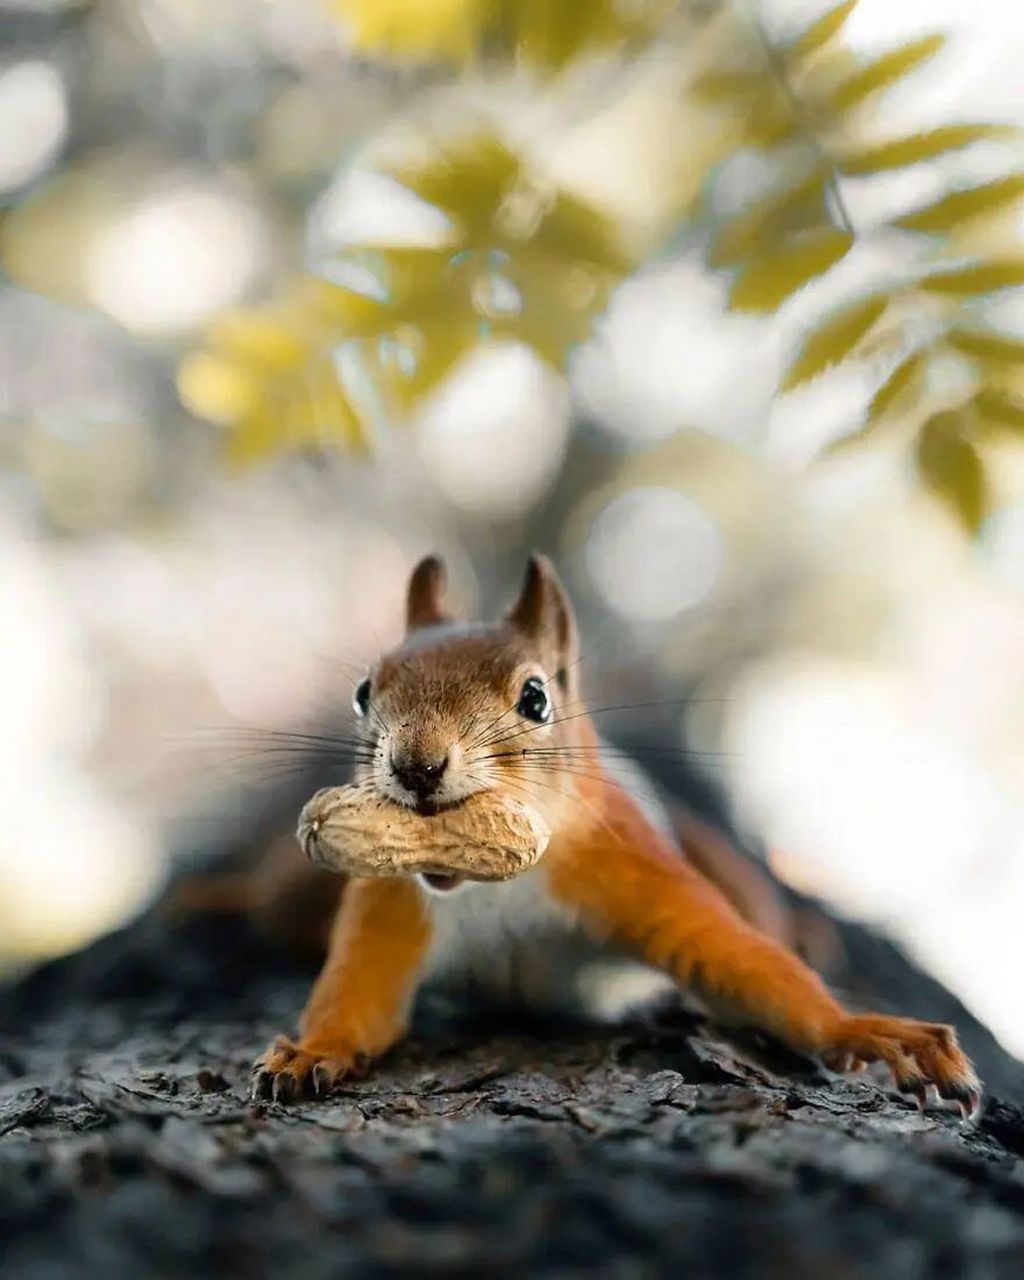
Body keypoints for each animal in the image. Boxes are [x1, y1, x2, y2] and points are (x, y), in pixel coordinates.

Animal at [244, 555, 977, 1116]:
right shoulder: (389, 900)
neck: (493, 886)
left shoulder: (625, 864)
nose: (415, 767)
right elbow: (358, 993)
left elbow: (736, 959)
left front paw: (864, 1030)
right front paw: (310, 1052)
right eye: (364, 692)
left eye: (536, 698)